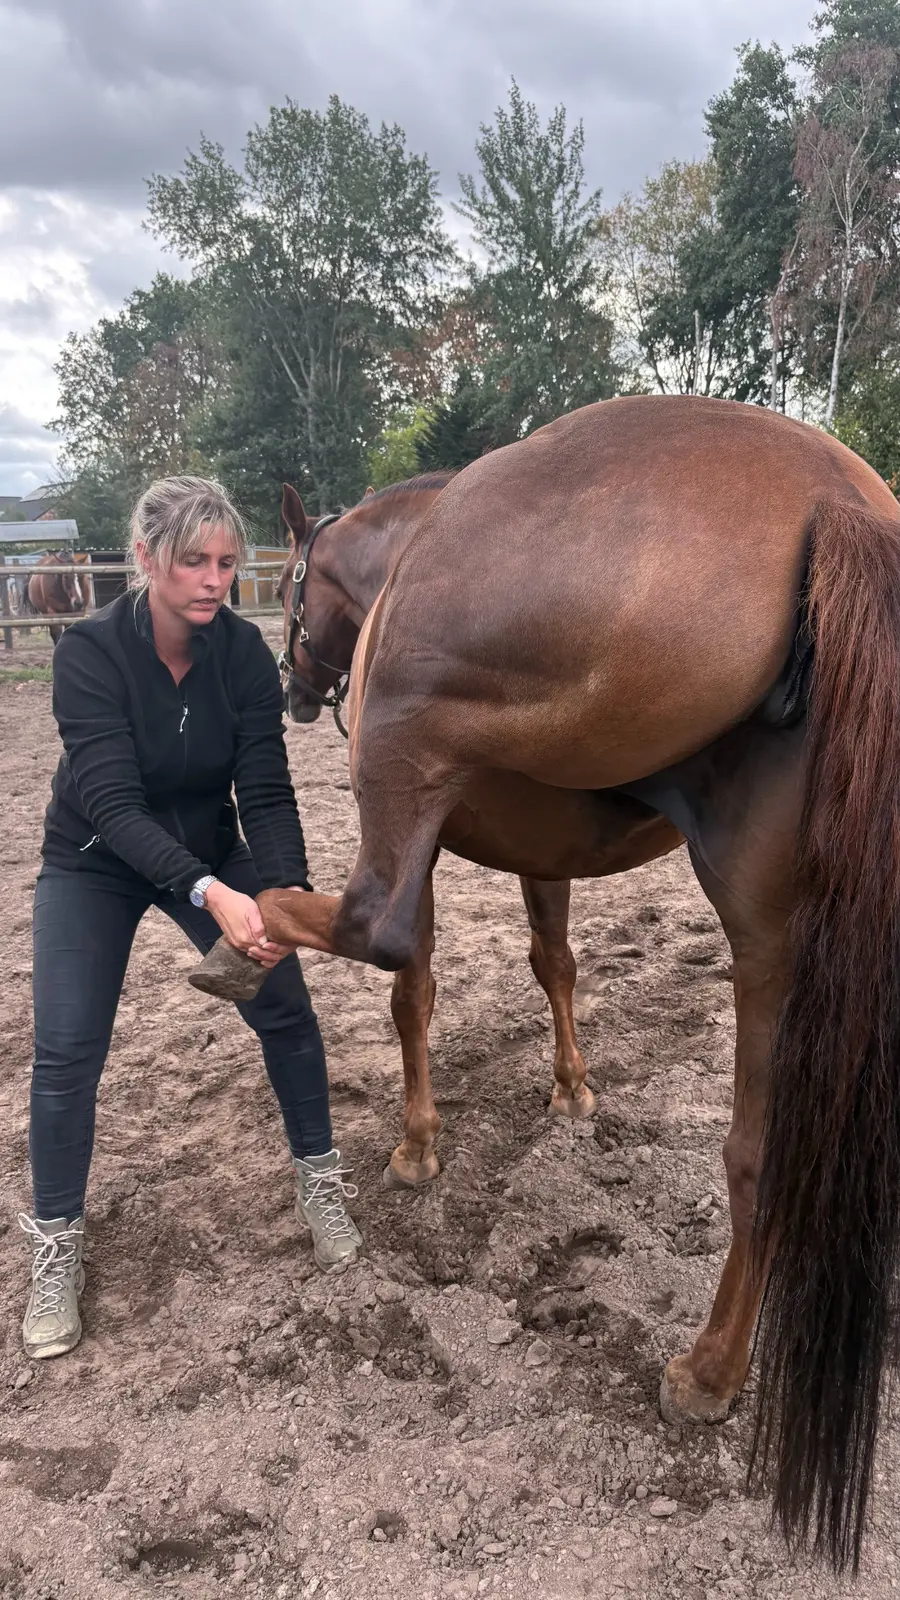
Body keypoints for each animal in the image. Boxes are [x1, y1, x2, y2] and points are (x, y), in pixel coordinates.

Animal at [194, 394, 900, 1569]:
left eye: (289, 584)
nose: (293, 690)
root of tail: (830, 499)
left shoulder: (436, 837)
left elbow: (413, 986)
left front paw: (419, 1144)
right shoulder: (546, 858)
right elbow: (555, 963)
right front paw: (572, 1089)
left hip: (416, 754)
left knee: (371, 922)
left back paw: (239, 940)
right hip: (778, 933)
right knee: (764, 1159)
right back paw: (720, 1369)